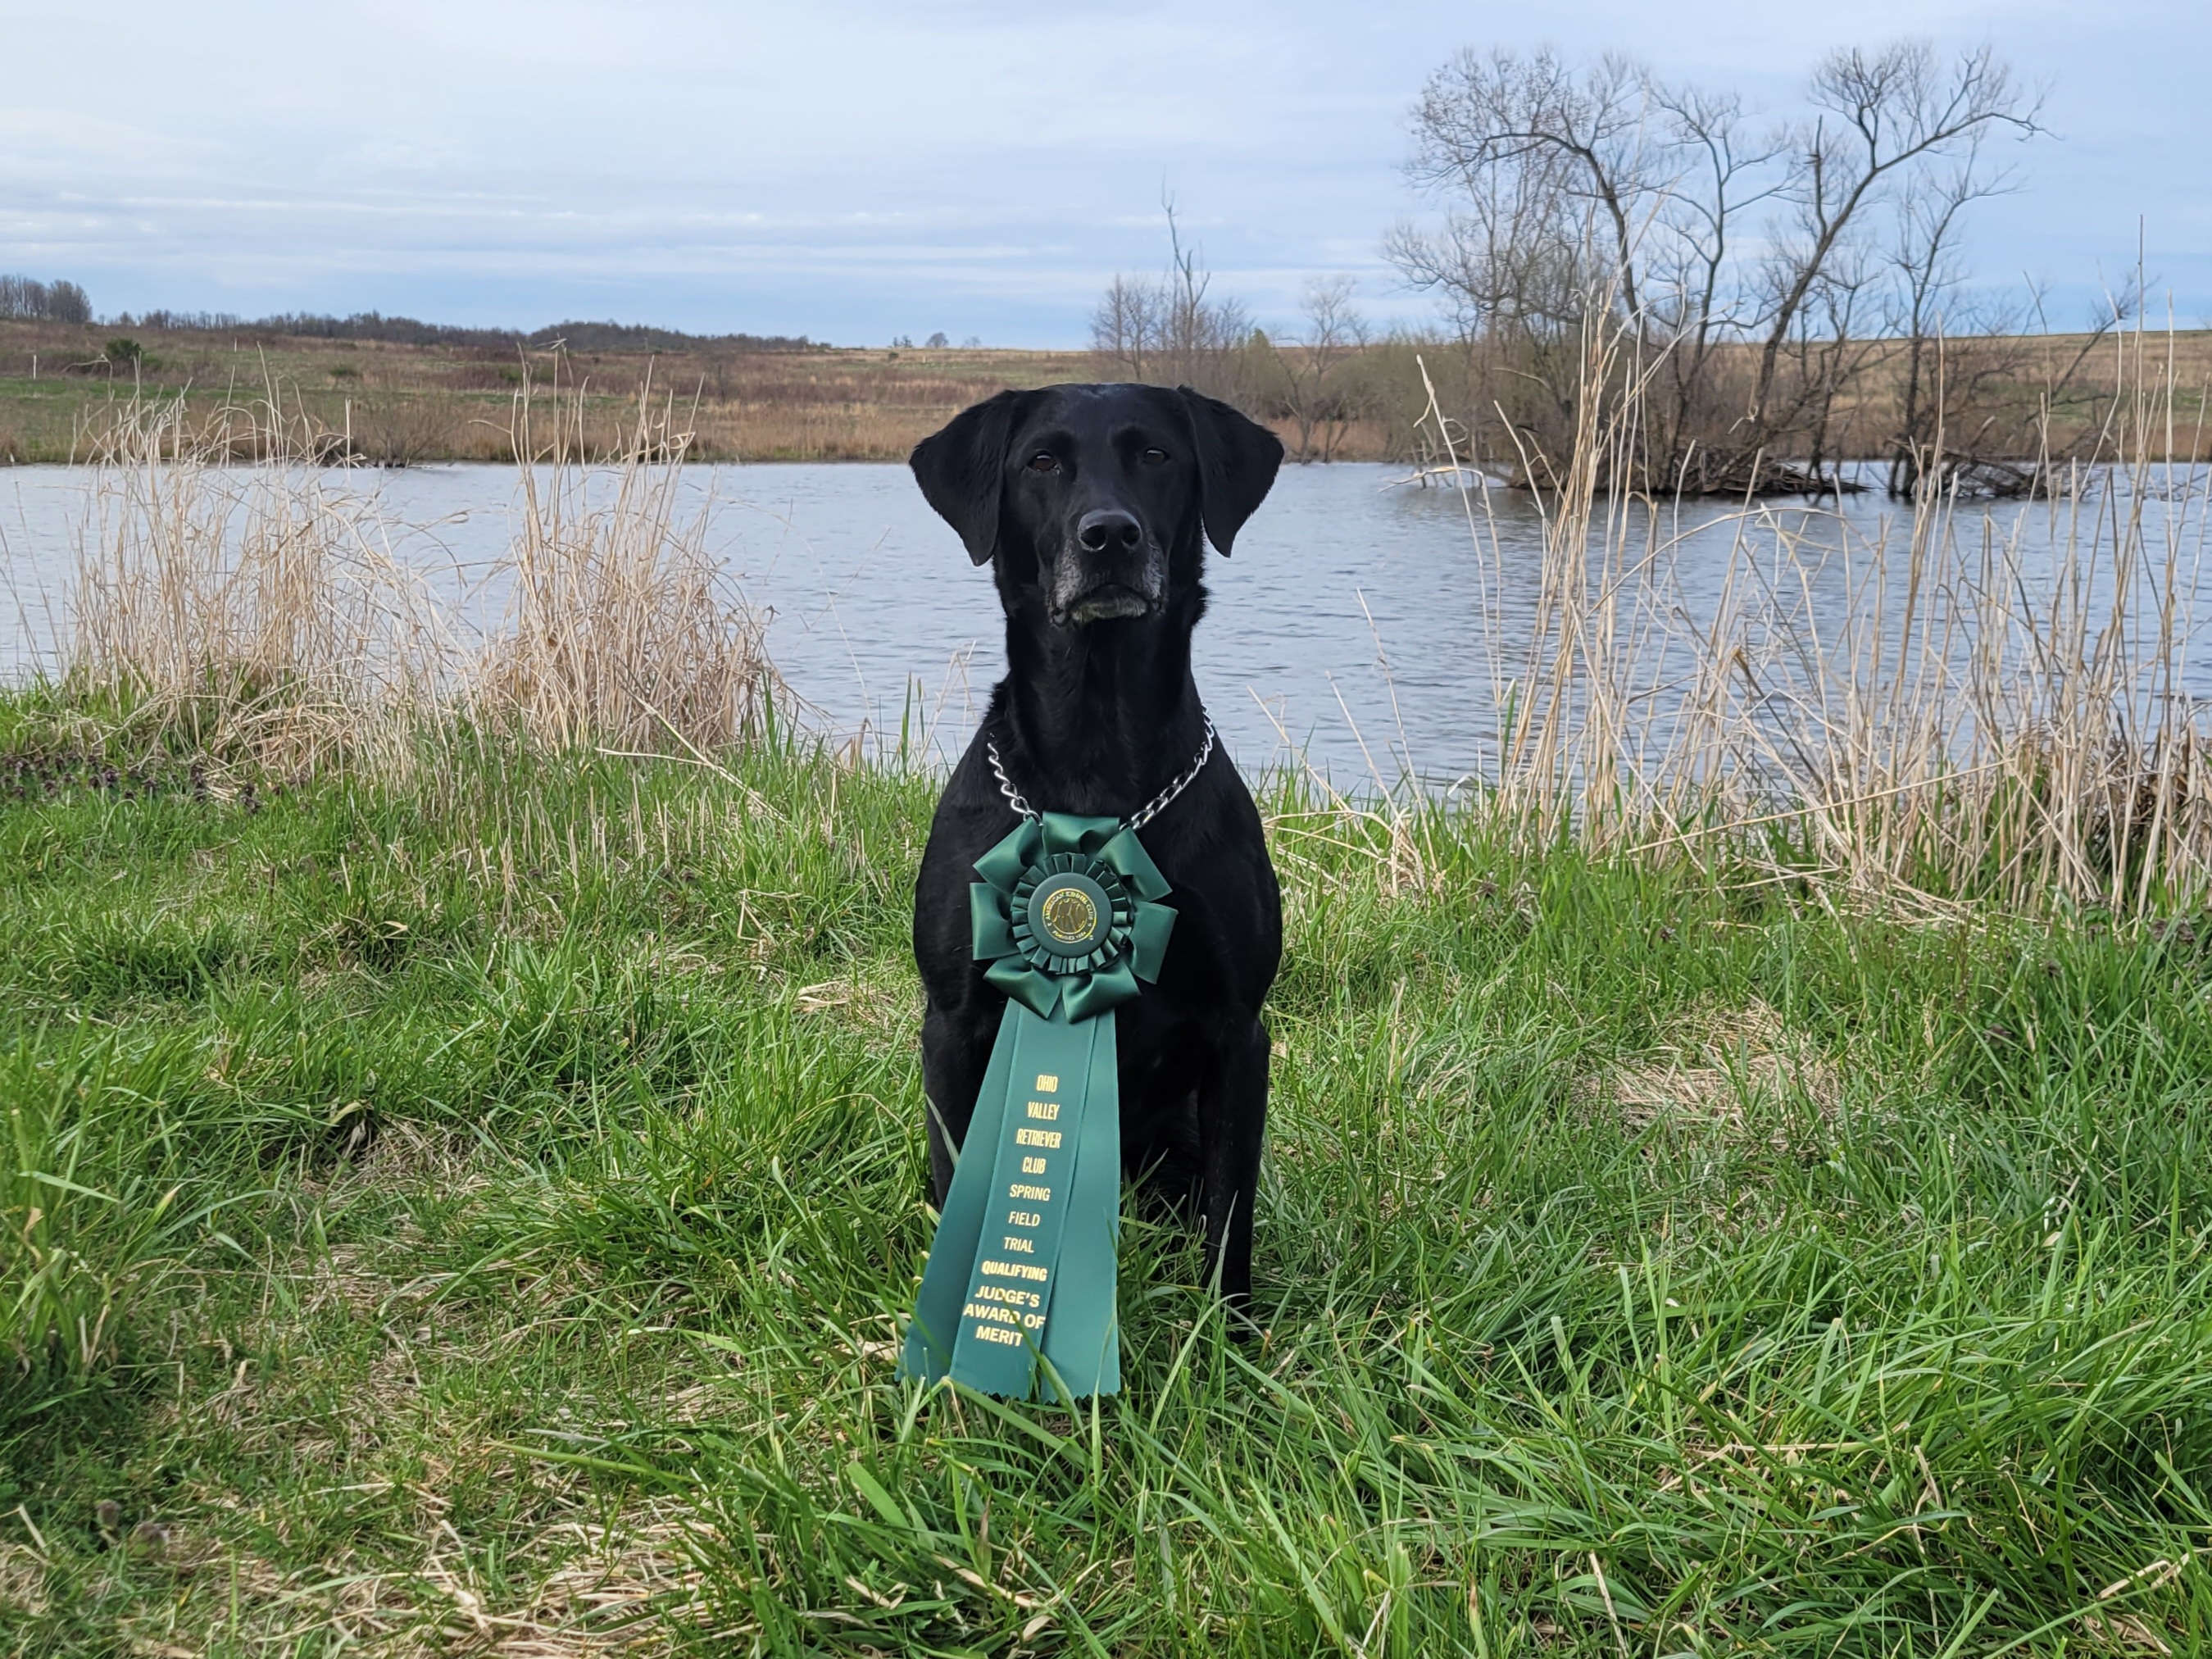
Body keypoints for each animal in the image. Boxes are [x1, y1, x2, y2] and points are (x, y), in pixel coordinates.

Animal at [902, 382, 1283, 1318]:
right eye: (1041, 461)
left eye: (1155, 455)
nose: (1109, 535)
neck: (1096, 760)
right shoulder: (953, 1021)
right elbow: (954, 1180)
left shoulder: (1238, 1031)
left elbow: (1231, 1214)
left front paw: (1227, 1338)